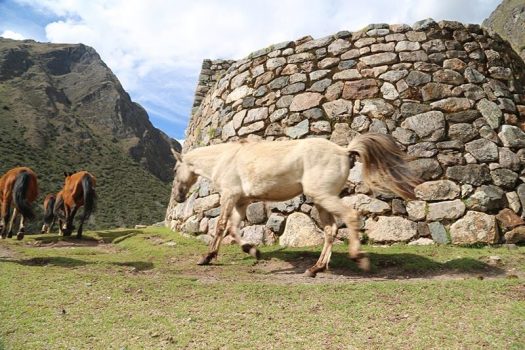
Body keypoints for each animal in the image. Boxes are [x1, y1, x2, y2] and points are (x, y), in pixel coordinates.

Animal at [174, 133, 420, 278]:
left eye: (175, 169)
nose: (177, 197)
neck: (226, 158)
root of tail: (344, 151)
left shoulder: (229, 196)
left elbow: (221, 226)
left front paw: (206, 258)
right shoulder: (241, 201)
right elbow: (234, 229)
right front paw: (253, 250)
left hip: (323, 196)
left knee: (350, 216)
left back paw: (358, 258)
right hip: (322, 200)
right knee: (330, 230)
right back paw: (315, 268)